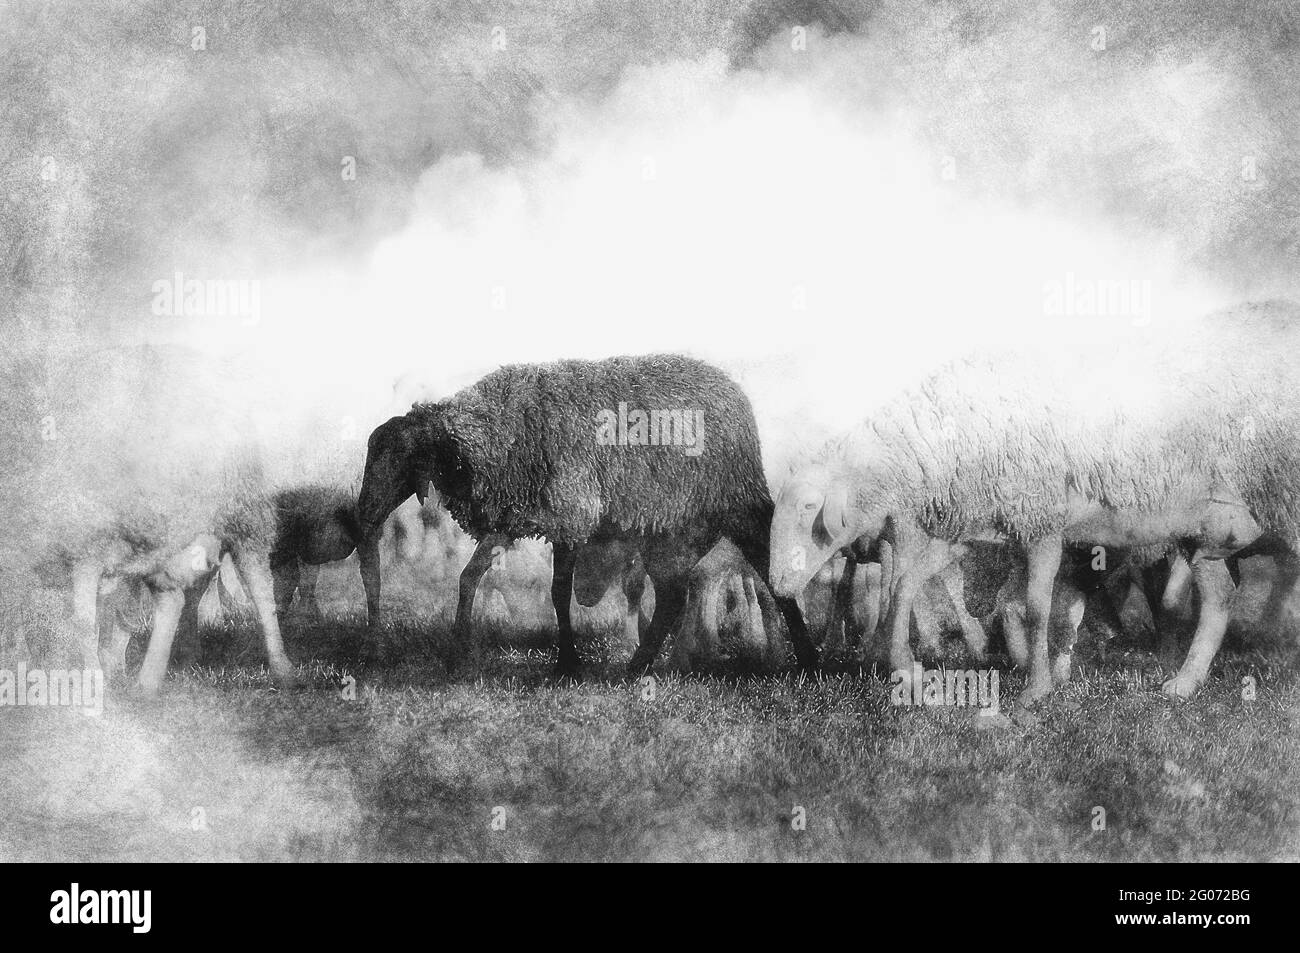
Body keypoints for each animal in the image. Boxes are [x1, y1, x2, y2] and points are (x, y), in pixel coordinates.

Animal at [356, 351, 816, 676]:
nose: (364, 513)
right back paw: (639, 666)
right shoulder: (521, 516)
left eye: (400, 457)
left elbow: (549, 590)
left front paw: (561, 664)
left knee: (770, 575)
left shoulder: (570, 515)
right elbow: (481, 578)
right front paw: (468, 652)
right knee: (672, 593)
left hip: (739, 505)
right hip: (670, 528)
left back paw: (809, 662)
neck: (497, 434)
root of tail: (728, 383)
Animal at [769, 301, 1300, 702]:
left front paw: (1036, 689)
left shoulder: (1041, 517)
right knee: (1219, 599)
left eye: (808, 508)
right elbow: (908, 591)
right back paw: (1183, 685)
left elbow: (1036, 607)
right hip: (1206, 526)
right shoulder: (970, 526)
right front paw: (908, 671)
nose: (777, 585)